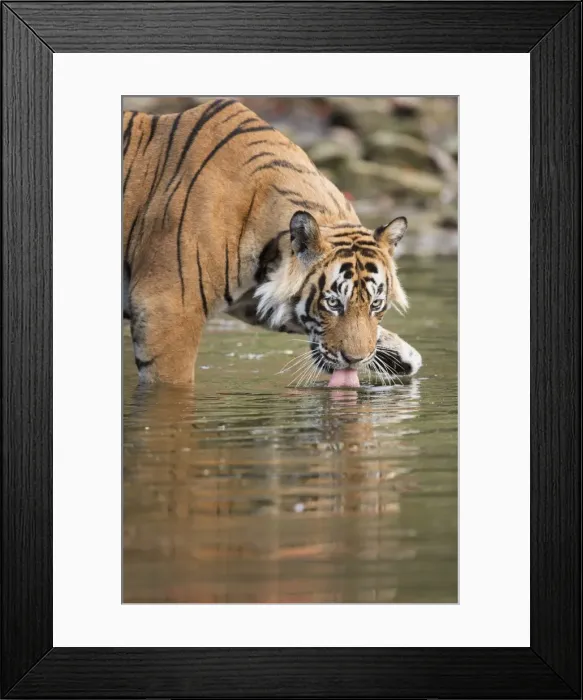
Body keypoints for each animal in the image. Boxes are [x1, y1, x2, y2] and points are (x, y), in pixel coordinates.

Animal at [123, 98, 422, 386]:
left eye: (375, 304)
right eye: (333, 304)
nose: (355, 360)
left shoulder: (254, 298)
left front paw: (403, 356)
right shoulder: (167, 308)